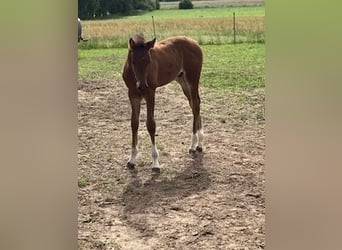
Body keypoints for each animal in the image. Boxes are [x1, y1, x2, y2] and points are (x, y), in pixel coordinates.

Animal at [122, 34, 203, 171]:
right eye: (133, 61)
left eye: (149, 61)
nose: (142, 86)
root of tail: (194, 42)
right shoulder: (133, 95)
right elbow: (134, 123)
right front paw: (131, 160)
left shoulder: (150, 93)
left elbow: (151, 124)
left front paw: (155, 162)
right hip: (182, 80)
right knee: (194, 104)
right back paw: (198, 143)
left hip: (193, 79)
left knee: (196, 105)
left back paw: (195, 144)